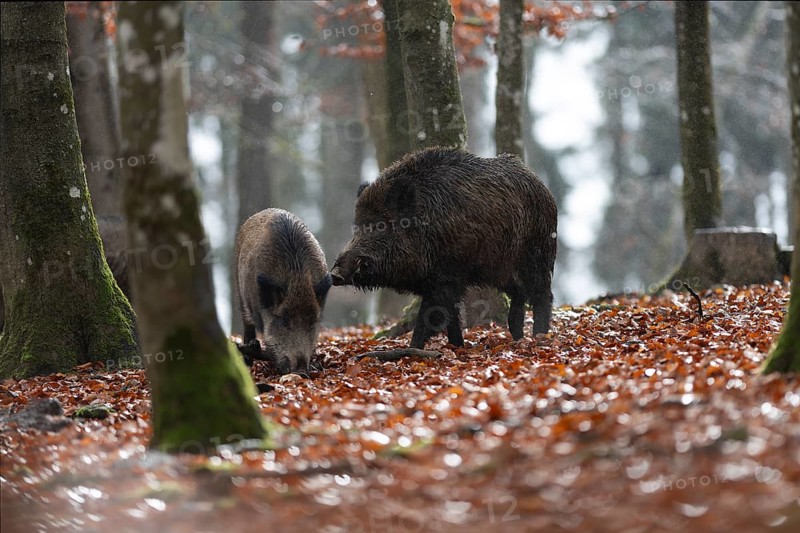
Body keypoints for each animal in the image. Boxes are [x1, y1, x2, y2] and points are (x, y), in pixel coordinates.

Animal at [330, 146, 557, 349]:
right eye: (356, 227)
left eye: (379, 225)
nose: (335, 274)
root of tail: (542, 186)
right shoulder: (446, 280)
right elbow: (452, 315)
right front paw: (457, 346)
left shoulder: (444, 279)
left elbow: (432, 316)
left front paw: (413, 350)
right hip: (496, 268)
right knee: (518, 290)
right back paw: (518, 337)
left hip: (537, 253)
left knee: (542, 293)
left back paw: (539, 337)